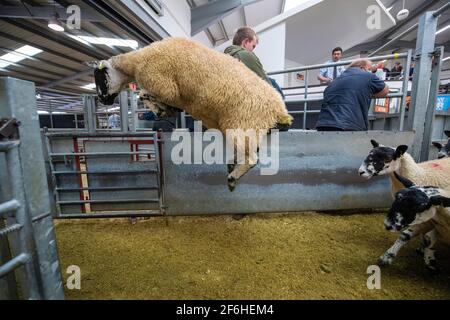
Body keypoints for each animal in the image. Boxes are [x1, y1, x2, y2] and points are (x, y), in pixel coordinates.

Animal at [90, 37, 294, 192]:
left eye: (100, 77)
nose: (102, 100)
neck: (136, 62)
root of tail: (279, 108)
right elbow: (147, 96)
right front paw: (164, 109)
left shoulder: (164, 85)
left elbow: (143, 93)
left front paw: (160, 108)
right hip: (243, 126)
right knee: (245, 152)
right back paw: (232, 165)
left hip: (243, 122)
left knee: (251, 158)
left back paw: (232, 177)